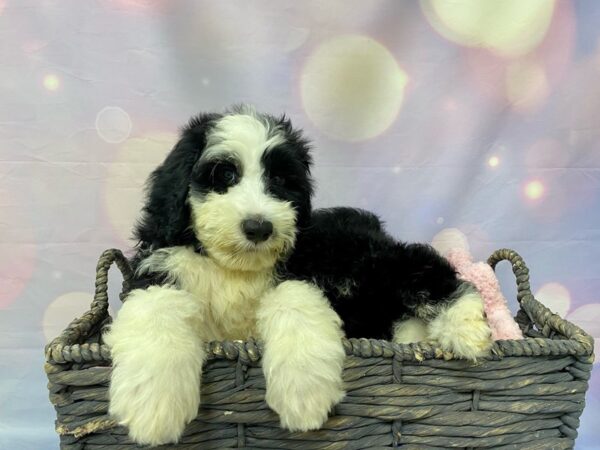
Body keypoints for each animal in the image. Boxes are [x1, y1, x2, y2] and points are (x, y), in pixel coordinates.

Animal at [105, 105, 492, 446]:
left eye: (278, 180)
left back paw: (468, 330)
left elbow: (294, 302)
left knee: (432, 271)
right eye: (225, 176)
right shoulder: (157, 269)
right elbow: (157, 307)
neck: (234, 268)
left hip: (370, 262)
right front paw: (153, 406)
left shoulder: (302, 271)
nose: (259, 227)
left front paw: (305, 394)